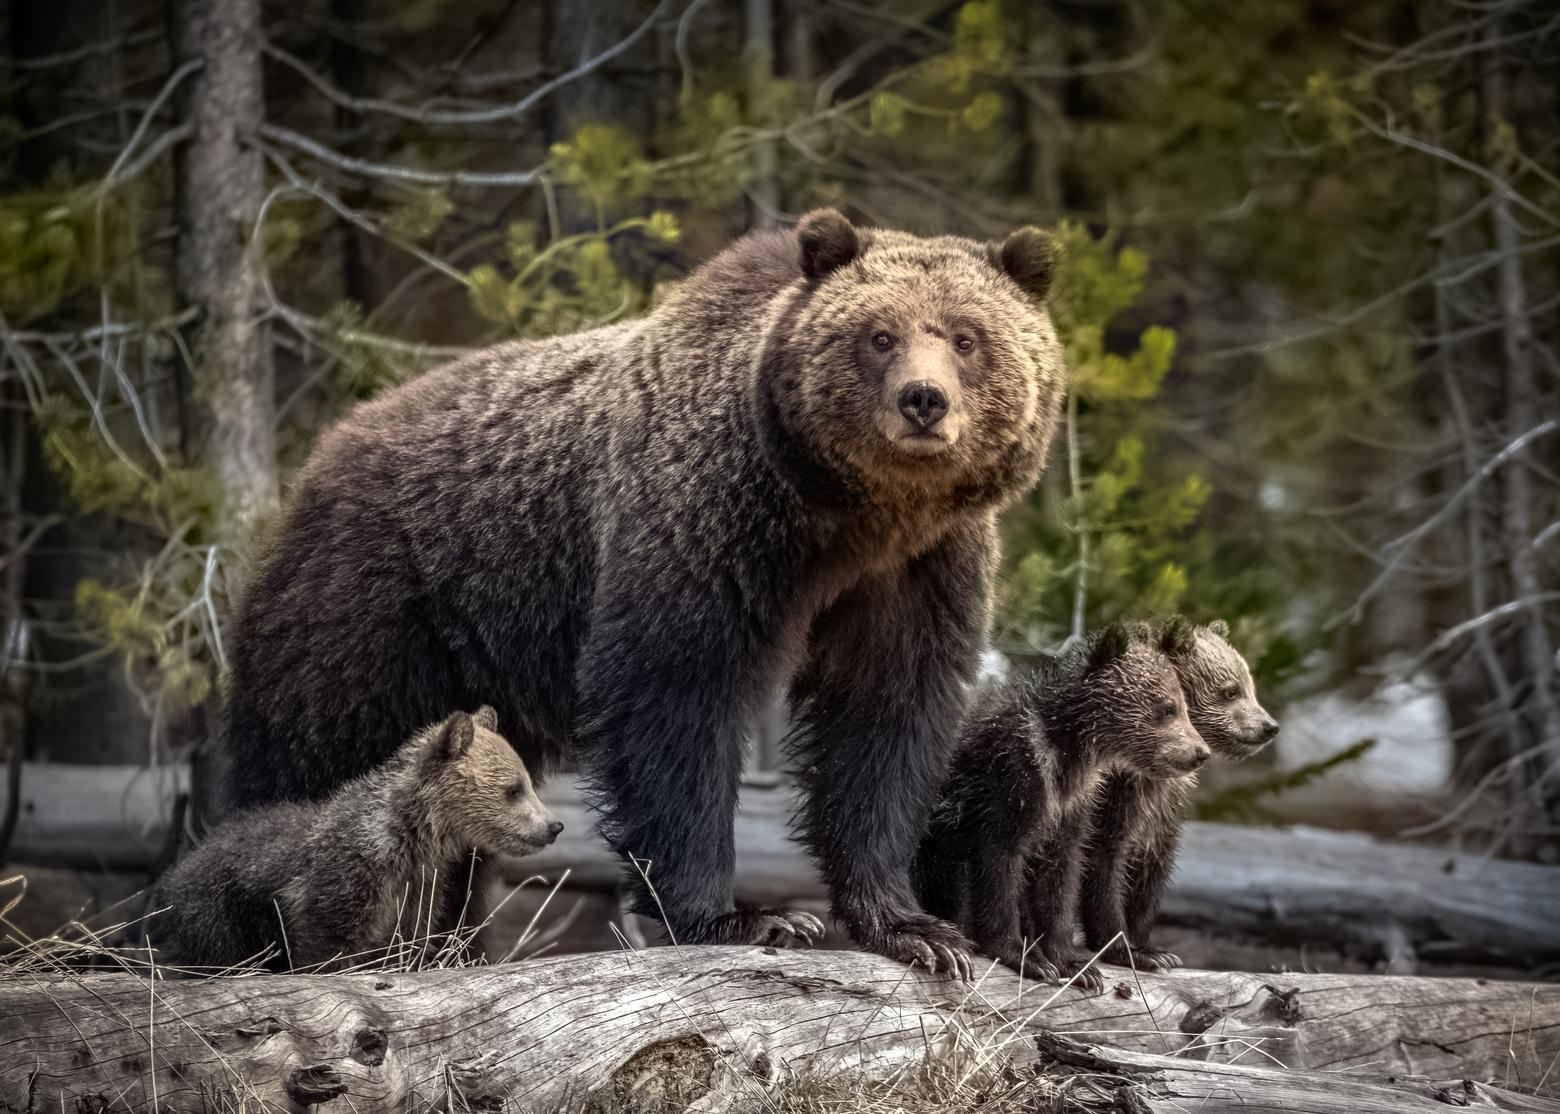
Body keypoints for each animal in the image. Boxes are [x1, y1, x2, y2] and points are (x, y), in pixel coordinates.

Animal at [150, 708, 561, 967]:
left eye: (527, 782)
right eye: (513, 789)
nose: (553, 826)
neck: (409, 839)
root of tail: (182, 866)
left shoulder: (418, 892)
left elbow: (408, 946)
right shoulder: (340, 884)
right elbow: (327, 948)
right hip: (220, 914)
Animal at [219, 210, 1067, 973]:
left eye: (966, 337)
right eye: (879, 336)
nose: (924, 400)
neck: (844, 520)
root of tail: (321, 461)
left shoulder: (918, 570)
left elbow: (884, 720)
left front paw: (915, 928)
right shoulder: (705, 526)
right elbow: (676, 702)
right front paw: (744, 916)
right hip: (378, 614)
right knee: (322, 761)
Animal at [911, 620, 1204, 986]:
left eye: (1183, 707)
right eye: (1167, 708)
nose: (1200, 752)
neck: (1068, 752)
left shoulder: (1072, 805)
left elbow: (1060, 877)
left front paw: (1075, 963)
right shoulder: (1010, 782)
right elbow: (1000, 864)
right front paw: (1025, 956)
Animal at [1079, 611, 1285, 967]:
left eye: (1250, 687)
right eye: (1231, 692)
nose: (1269, 727)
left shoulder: (1163, 807)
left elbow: (1151, 869)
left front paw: (1153, 947)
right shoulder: (1113, 795)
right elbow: (1102, 856)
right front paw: (1127, 950)